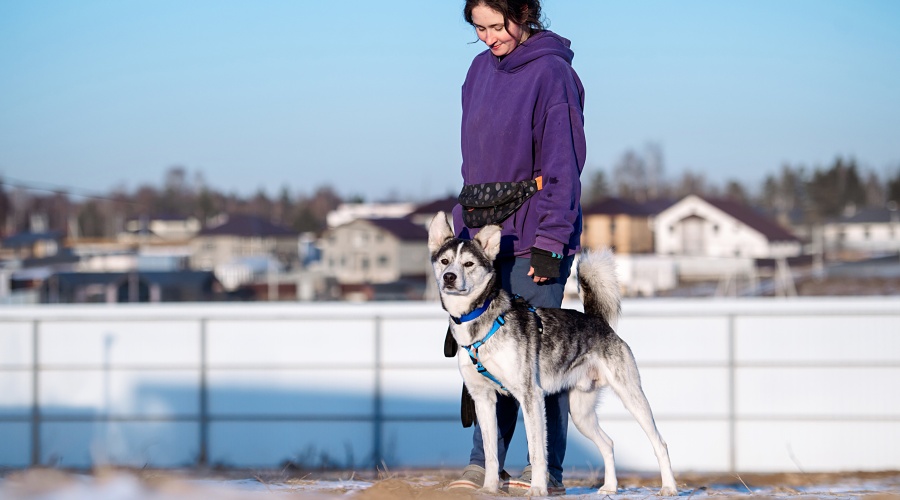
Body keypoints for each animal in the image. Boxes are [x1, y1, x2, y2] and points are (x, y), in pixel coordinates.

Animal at [428, 212, 677, 496]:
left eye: (468, 264)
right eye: (445, 261)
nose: (449, 277)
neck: (479, 319)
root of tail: (597, 319)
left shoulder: (530, 397)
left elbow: (538, 452)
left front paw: (536, 489)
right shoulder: (483, 399)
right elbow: (491, 454)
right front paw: (489, 489)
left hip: (632, 397)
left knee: (660, 443)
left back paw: (669, 488)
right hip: (581, 413)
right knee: (608, 443)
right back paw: (610, 487)